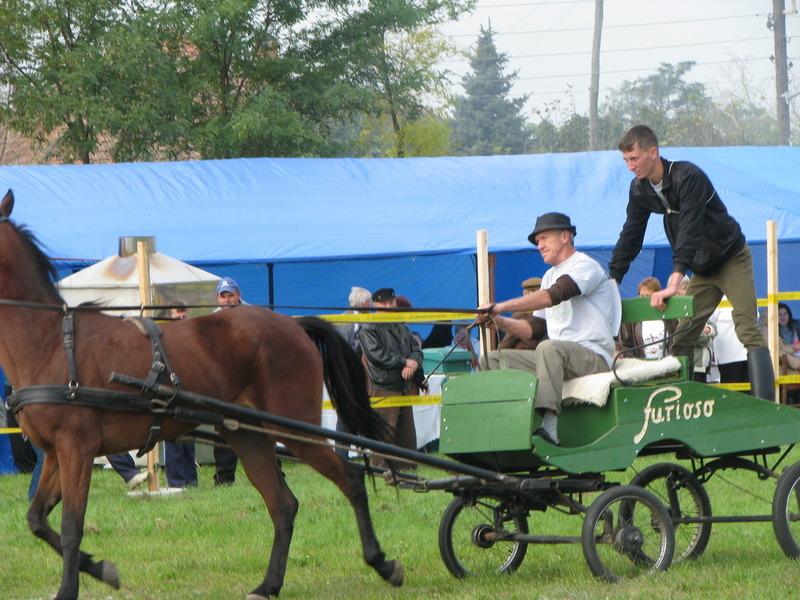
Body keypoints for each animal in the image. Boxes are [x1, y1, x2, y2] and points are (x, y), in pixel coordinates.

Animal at [0, 191, 400, 600]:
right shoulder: (55, 454)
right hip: (249, 437)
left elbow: (70, 525)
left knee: (350, 480)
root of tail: (292, 324)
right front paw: (101, 569)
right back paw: (269, 584)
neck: (50, 343)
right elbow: (36, 518)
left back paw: (382, 563)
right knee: (283, 505)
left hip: (296, 430)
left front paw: (70, 588)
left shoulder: (76, 448)